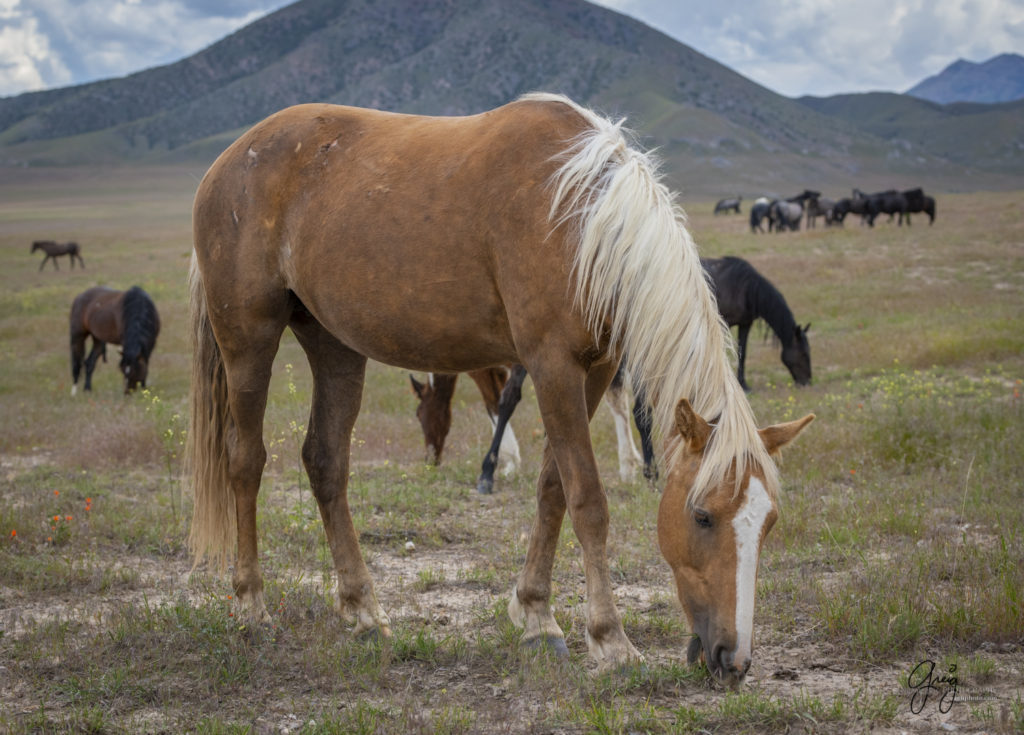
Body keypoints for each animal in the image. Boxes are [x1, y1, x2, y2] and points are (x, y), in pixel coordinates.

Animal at [700, 258, 811, 397]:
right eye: (803, 354)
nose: (807, 383)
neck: (745, 289)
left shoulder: (745, 324)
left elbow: (742, 354)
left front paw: (744, 385)